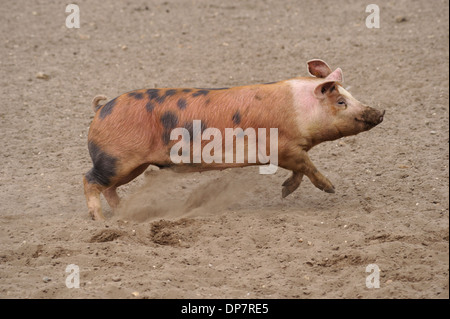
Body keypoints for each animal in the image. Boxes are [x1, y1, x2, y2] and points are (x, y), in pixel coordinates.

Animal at [83, 59, 384, 220]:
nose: (380, 112)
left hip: (132, 166)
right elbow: (308, 166)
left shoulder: (288, 152)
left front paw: (285, 192)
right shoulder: (283, 148)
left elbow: (300, 171)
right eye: (341, 102)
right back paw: (100, 220)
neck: (298, 110)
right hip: (116, 160)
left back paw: (124, 213)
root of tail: (100, 109)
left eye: (351, 95)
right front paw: (331, 189)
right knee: (89, 180)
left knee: (109, 188)